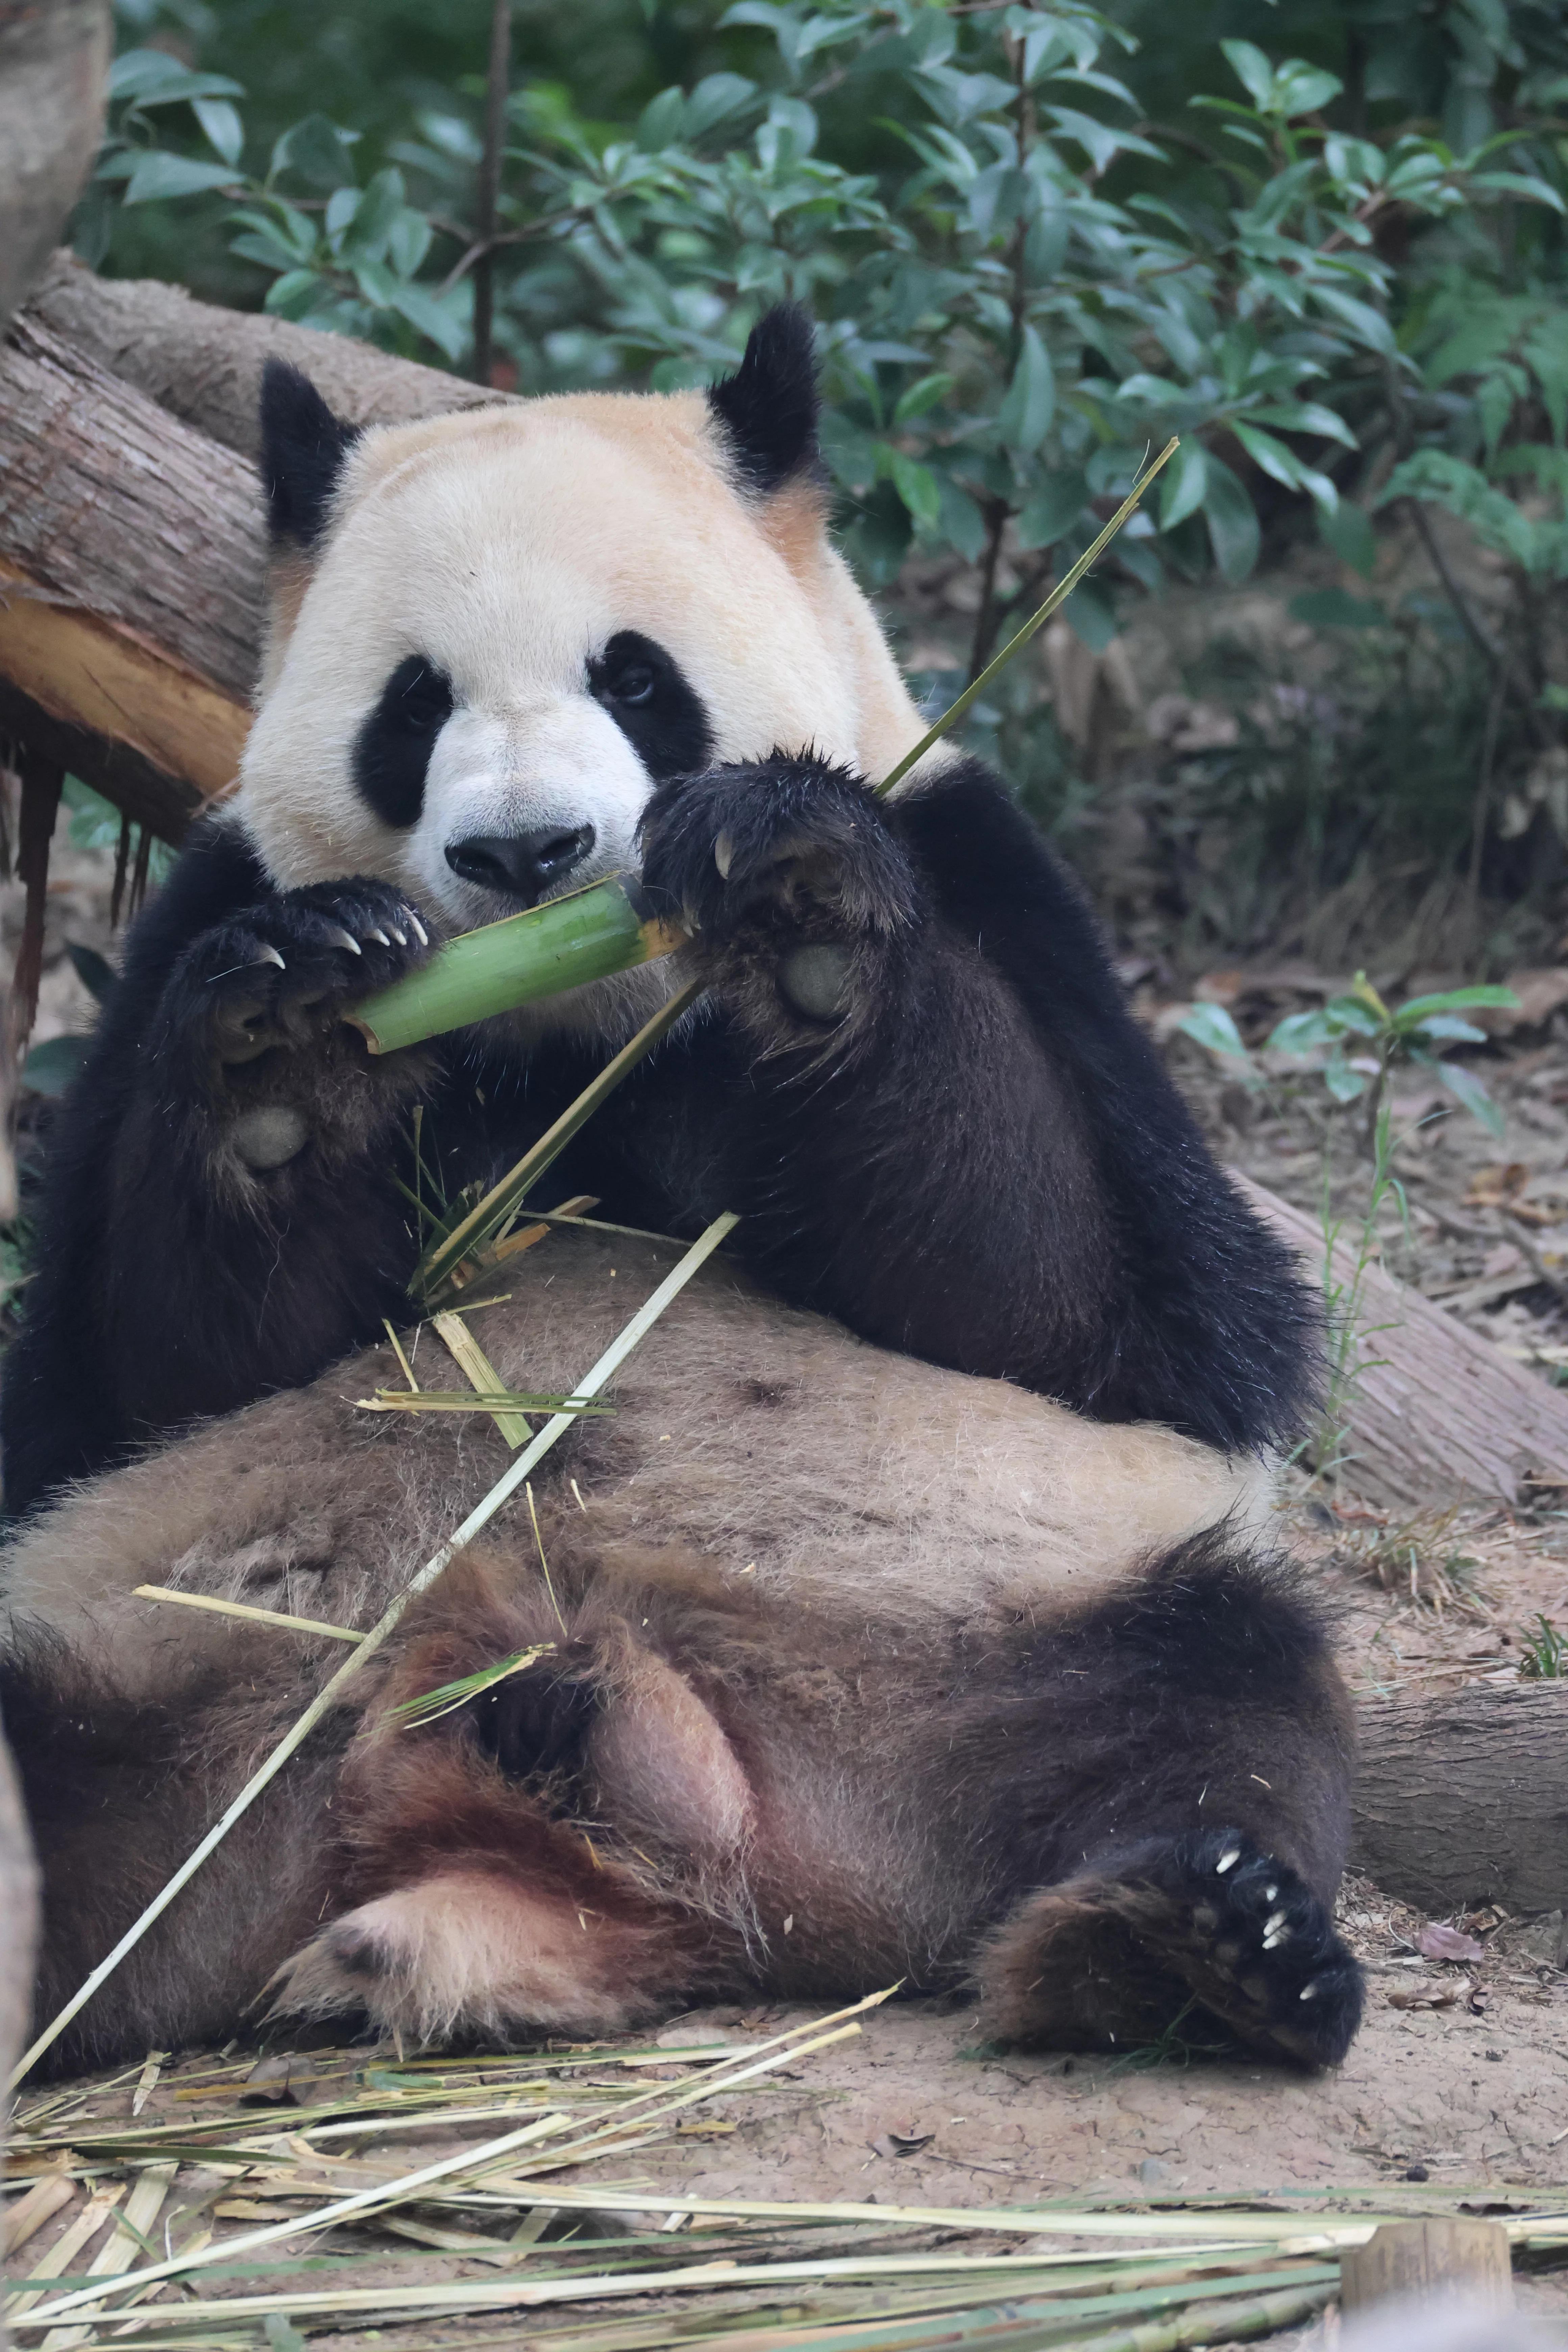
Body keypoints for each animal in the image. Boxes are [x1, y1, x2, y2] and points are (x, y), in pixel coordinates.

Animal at [0, 303, 1314, 1514]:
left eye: (633, 678)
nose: (526, 851)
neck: (586, 1029)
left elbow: (1085, 1305)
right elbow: (141, 1378)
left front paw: (797, 899)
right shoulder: (206, 907)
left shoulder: (982, 866)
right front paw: (291, 1032)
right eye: (415, 706)